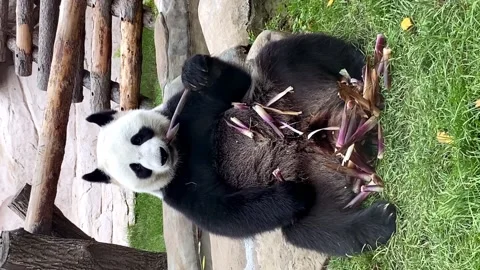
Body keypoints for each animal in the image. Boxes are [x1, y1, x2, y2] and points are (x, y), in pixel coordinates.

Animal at [82, 32, 398, 256]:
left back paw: (362, 69)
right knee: (316, 230)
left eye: (139, 136)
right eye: (138, 169)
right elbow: (229, 215)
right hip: (319, 186)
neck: (184, 150)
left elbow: (233, 83)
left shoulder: (186, 112)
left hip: (286, 88)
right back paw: (378, 219)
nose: (160, 156)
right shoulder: (181, 193)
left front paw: (197, 72)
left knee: (290, 55)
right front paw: (292, 192)